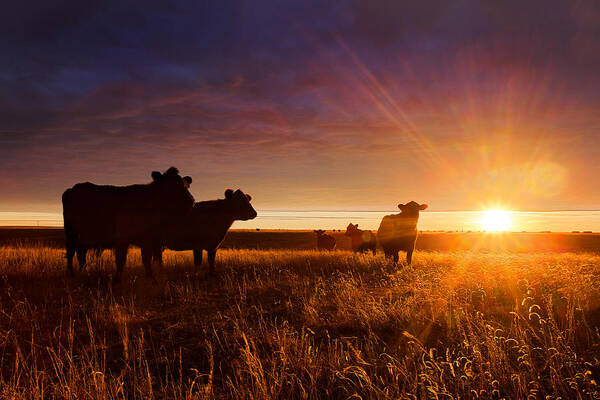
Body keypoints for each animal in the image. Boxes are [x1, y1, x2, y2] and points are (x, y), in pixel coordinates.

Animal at [60, 166, 193, 282]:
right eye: (170, 186)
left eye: (185, 185)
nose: (190, 200)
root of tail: (71, 189)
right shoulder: (123, 238)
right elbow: (121, 259)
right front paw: (118, 279)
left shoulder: (149, 240)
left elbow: (147, 259)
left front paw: (150, 278)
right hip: (72, 233)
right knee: (71, 252)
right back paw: (71, 274)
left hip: (84, 236)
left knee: (80, 253)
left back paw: (83, 271)